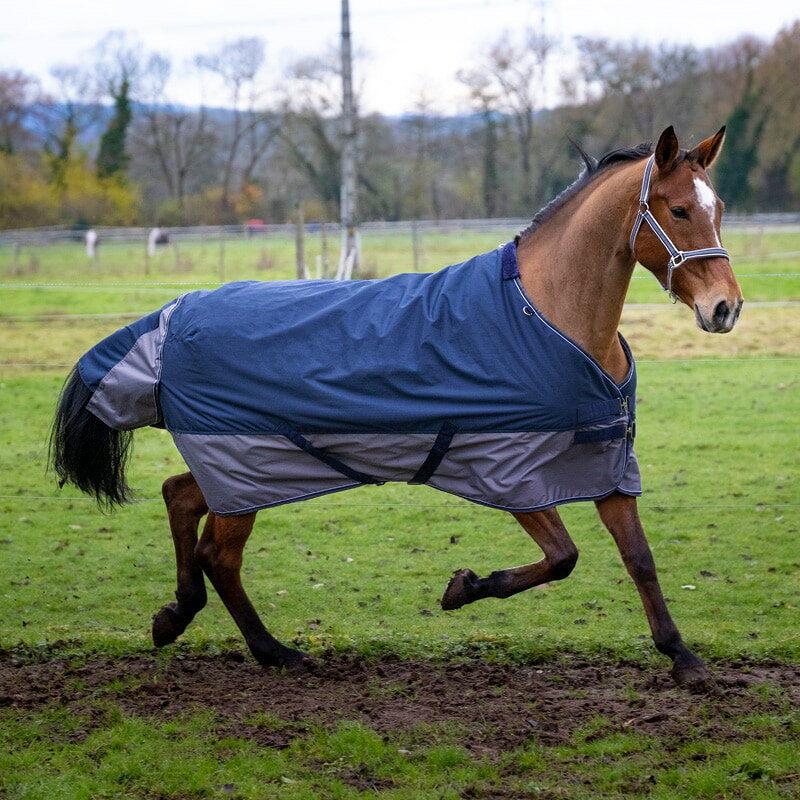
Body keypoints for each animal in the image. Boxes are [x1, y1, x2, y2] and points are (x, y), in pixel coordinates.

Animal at [51, 126, 742, 687]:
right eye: (679, 209)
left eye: (719, 209)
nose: (725, 308)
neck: (547, 317)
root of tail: (171, 315)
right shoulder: (508, 471)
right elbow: (563, 557)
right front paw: (463, 588)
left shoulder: (606, 464)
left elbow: (640, 559)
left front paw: (683, 657)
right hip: (246, 469)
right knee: (219, 555)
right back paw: (275, 652)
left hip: (247, 467)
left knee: (179, 497)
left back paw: (177, 615)